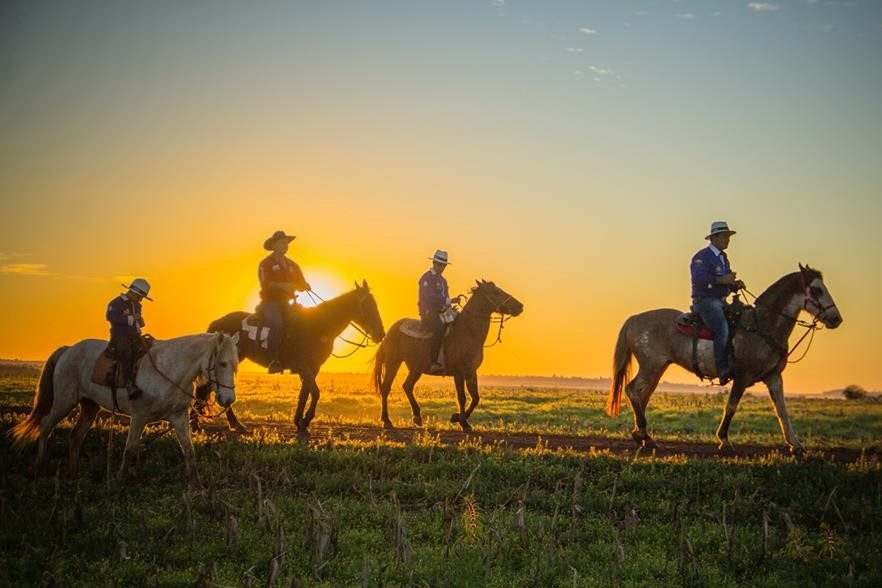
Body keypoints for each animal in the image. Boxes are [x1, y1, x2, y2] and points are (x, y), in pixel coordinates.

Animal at [11, 334, 237, 484]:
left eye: (235, 365)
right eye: (222, 363)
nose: (228, 399)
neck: (169, 369)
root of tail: (68, 349)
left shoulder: (178, 416)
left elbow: (189, 450)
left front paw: (197, 487)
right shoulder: (139, 417)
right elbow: (129, 450)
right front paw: (119, 483)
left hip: (89, 406)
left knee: (75, 437)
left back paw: (73, 476)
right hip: (64, 402)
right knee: (45, 426)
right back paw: (37, 467)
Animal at [199, 280, 384, 436]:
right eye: (366, 305)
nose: (380, 334)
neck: (319, 326)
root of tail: (216, 325)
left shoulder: (312, 369)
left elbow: (305, 394)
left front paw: (300, 423)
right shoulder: (305, 367)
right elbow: (315, 393)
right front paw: (306, 420)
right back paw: (228, 424)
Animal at [372, 280, 524, 432]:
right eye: (496, 292)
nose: (520, 306)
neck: (467, 332)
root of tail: (391, 330)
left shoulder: (471, 371)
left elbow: (475, 398)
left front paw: (458, 418)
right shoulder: (459, 373)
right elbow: (462, 397)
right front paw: (462, 422)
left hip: (416, 368)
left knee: (407, 386)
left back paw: (417, 417)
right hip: (393, 362)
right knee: (385, 388)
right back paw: (387, 421)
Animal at [604, 266, 840, 454]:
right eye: (817, 290)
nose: (836, 319)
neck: (761, 326)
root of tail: (634, 319)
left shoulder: (773, 377)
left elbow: (782, 410)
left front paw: (795, 444)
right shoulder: (742, 376)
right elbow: (731, 407)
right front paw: (724, 440)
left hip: (657, 368)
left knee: (642, 396)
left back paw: (645, 436)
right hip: (650, 366)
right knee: (633, 391)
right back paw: (643, 435)